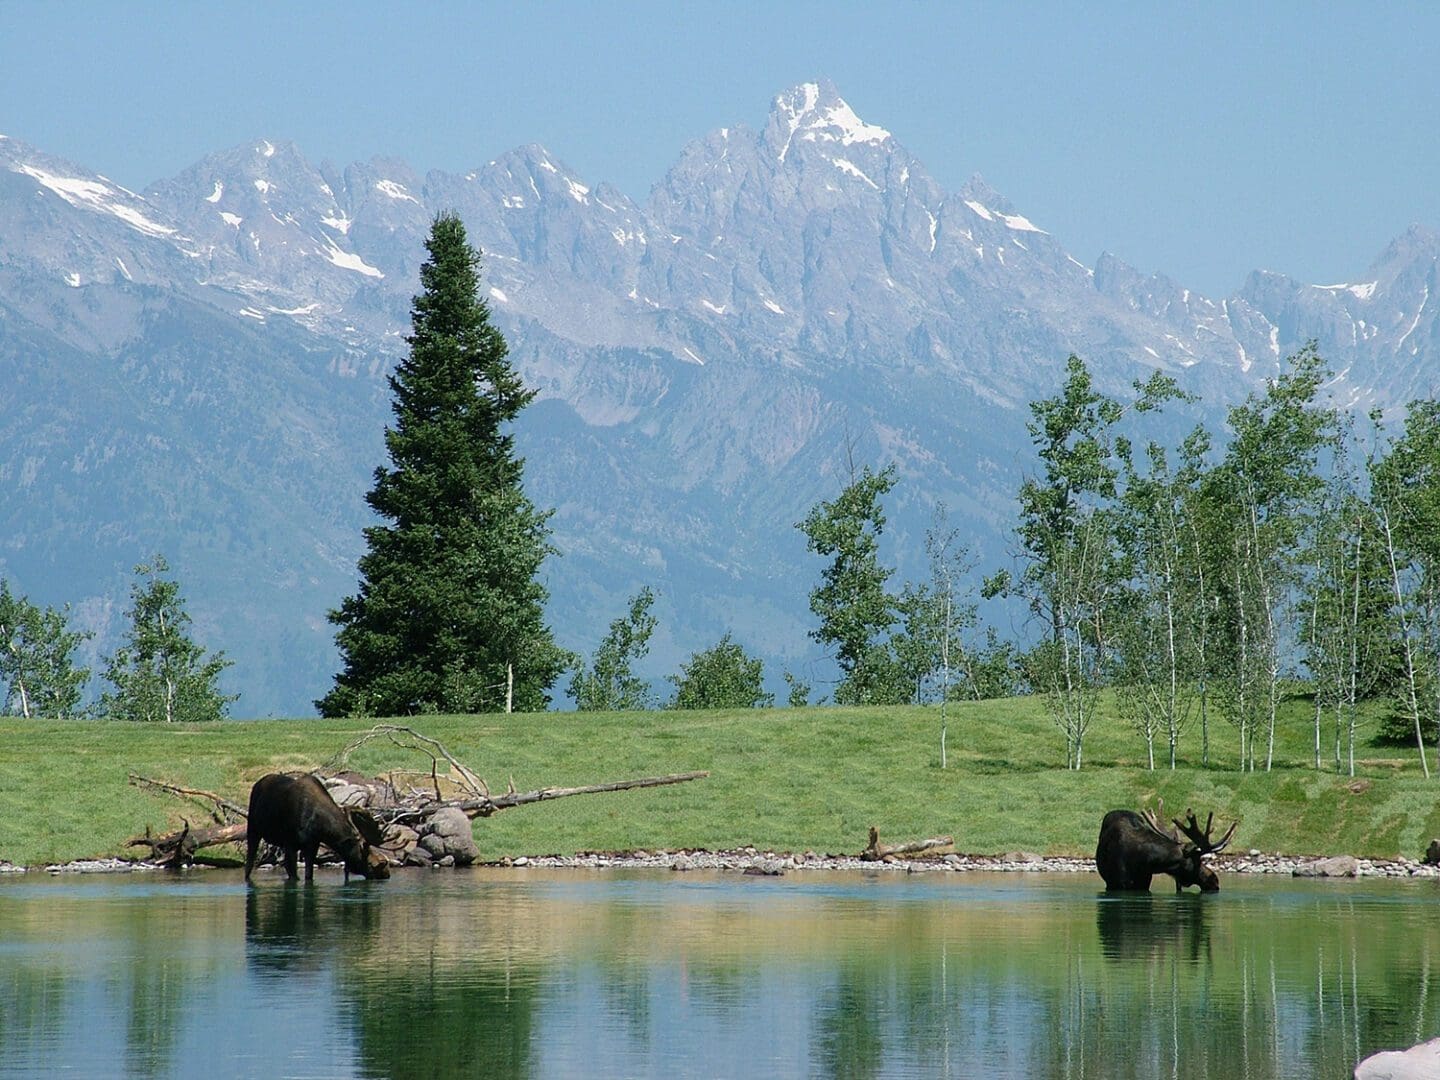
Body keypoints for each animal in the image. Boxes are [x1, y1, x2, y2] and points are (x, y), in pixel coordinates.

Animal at [246, 771, 391, 881]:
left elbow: (308, 875)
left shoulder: (312, 845)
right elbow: (292, 874)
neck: (319, 825)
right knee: (249, 863)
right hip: (253, 829)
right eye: (369, 862)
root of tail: (257, 784)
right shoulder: (290, 843)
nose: (386, 874)